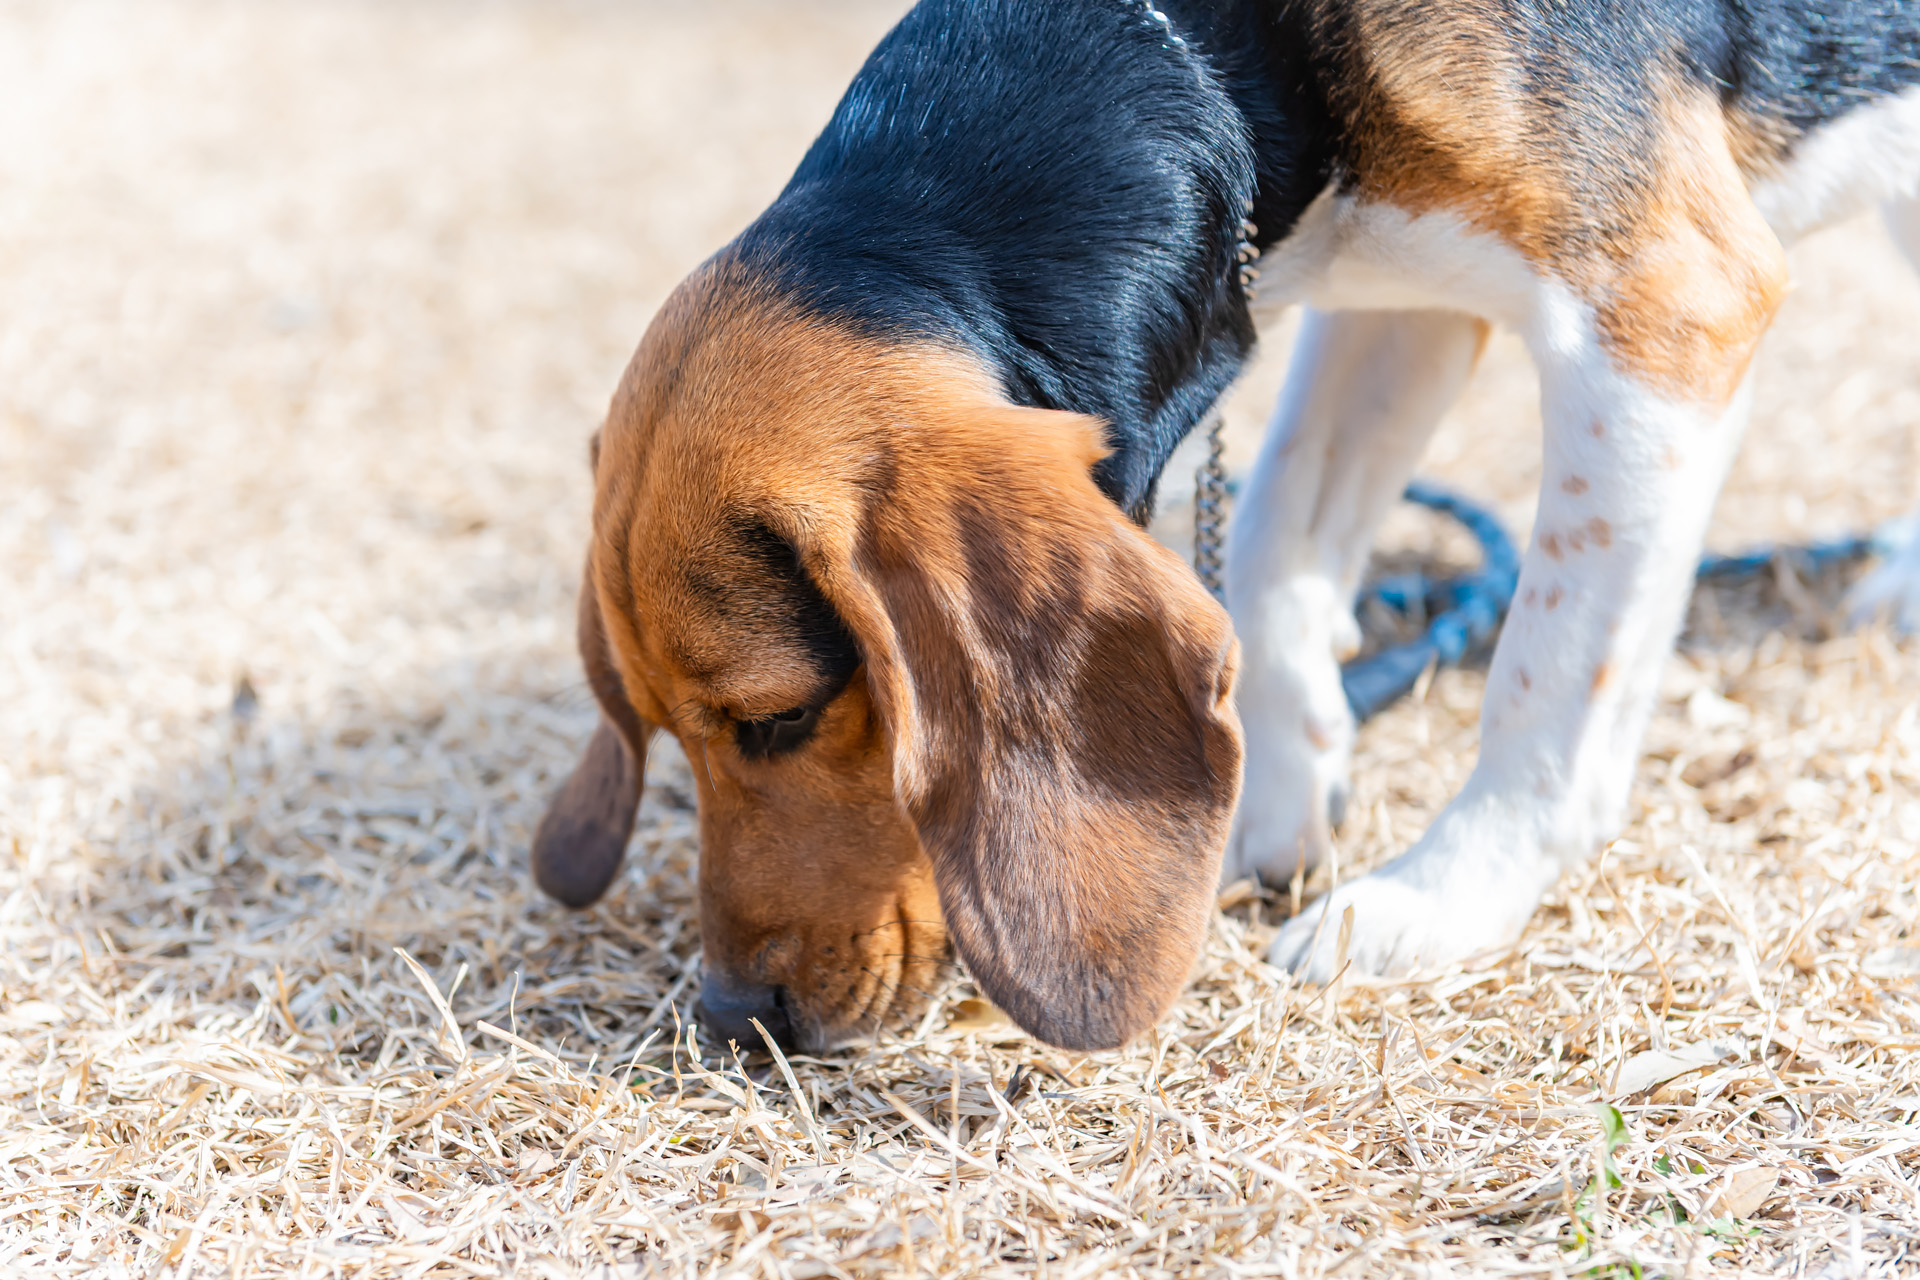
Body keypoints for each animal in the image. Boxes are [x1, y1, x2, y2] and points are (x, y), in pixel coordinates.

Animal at [531, 0, 1920, 1052]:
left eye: (779, 717)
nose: (731, 1015)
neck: (1209, 46)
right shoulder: (1406, 288)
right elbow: (1280, 531)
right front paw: (1279, 792)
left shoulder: (1663, 310)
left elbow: (1546, 671)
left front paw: (1443, 890)